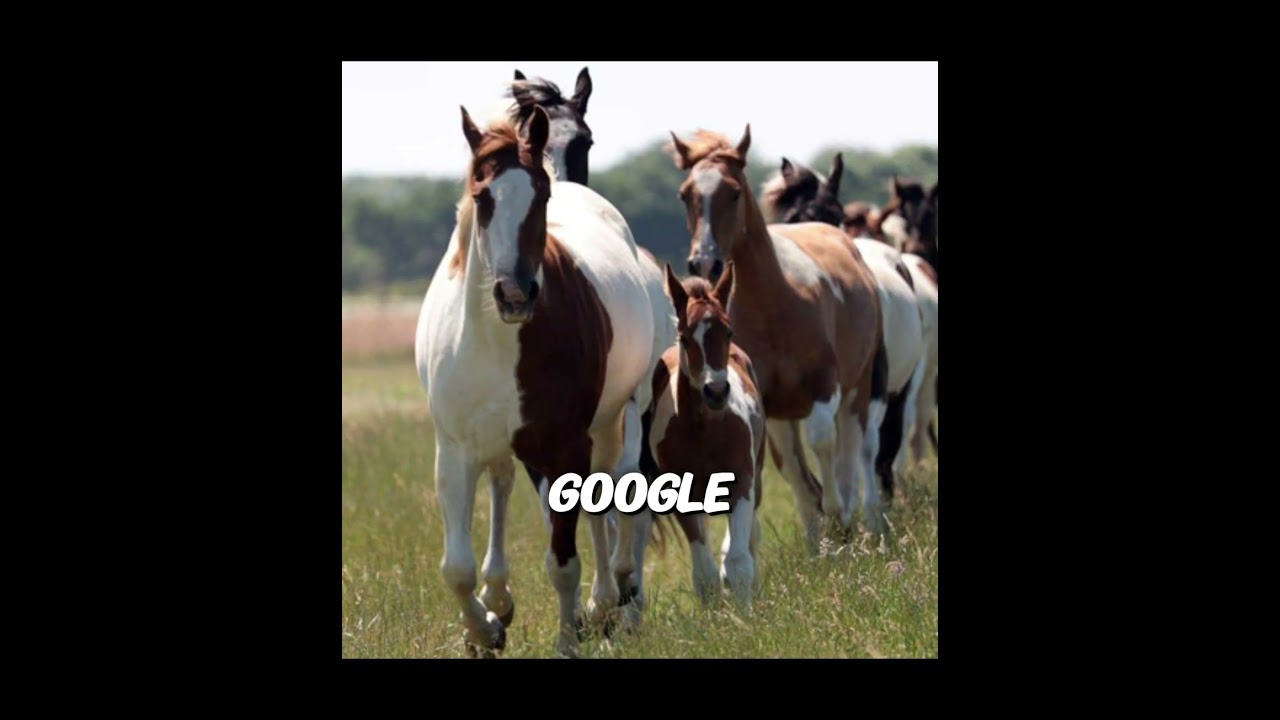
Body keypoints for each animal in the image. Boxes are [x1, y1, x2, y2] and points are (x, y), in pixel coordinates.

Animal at [415, 107, 670, 657]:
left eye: (541, 196)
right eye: (481, 195)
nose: (515, 294)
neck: (497, 339)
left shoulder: (565, 446)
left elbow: (563, 563)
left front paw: (570, 638)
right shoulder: (455, 452)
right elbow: (457, 569)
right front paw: (486, 627)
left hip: (623, 412)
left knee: (618, 490)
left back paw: (612, 597)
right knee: (515, 486)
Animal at [649, 263, 765, 605]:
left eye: (729, 332)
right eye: (685, 337)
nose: (716, 392)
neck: (703, 430)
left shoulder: (742, 480)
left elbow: (738, 561)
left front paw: (747, 614)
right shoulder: (679, 497)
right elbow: (704, 575)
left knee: (749, 539)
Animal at [667, 126, 884, 543]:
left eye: (734, 191)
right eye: (685, 194)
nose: (704, 262)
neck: (776, 302)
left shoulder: (826, 384)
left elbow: (822, 440)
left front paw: (838, 511)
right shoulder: (765, 401)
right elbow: (785, 472)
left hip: (858, 390)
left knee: (850, 451)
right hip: (787, 415)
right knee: (798, 471)